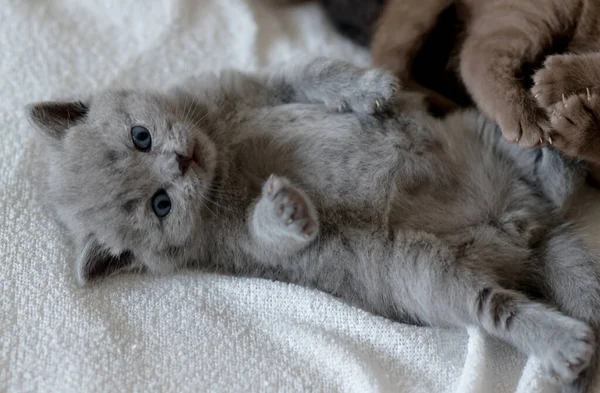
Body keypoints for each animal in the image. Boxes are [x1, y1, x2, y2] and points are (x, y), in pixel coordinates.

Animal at [27, 57, 600, 388]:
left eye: (140, 137)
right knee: (498, 308)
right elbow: (267, 231)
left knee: (536, 171)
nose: (181, 161)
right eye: (160, 205)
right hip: (428, 273)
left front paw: (371, 87)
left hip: (468, 130)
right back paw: (564, 344)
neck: (222, 148)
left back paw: (561, 138)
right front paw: (283, 206)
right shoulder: (240, 247)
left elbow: (307, 71)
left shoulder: (259, 83)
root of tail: (526, 232)